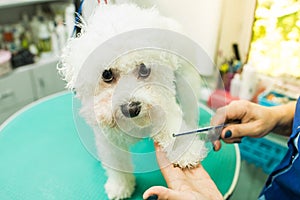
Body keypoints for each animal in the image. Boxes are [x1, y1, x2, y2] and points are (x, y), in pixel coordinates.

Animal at [59, 0, 207, 199]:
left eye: (144, 69)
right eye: (107, 74)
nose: (131, 108)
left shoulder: (163, 101)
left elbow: (174, 126)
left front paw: (186, 151)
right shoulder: (109, 141)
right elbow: (117, 165)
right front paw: (120, 186)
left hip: (186, 81)